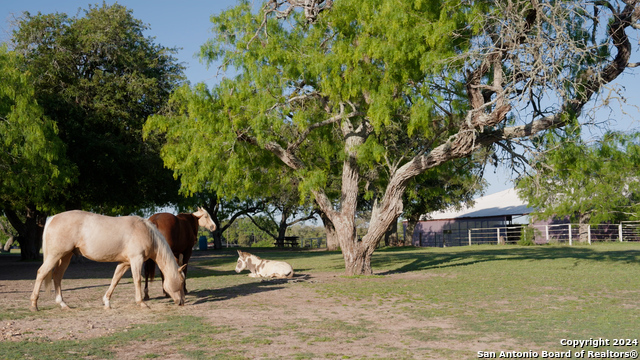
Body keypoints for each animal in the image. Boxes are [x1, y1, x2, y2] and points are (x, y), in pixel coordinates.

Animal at [30, 211, 185, 312]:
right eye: (181, 282)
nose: (181, 302)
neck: (145, 231)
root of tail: (53, 218)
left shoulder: (124, 263)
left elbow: (115, 280)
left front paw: (107, 302)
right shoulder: (136, 259)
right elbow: (137, 280)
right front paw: (141, 303)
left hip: (65, 256)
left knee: (57, 276)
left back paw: (63, 304)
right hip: (55, 255)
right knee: (41, 273)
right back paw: (34, 305)